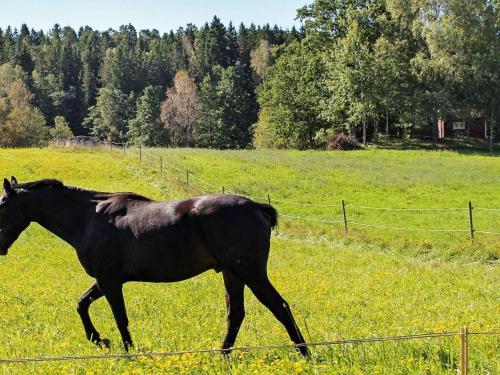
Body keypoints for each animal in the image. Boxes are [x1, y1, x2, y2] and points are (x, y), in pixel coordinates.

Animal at [0, 178, 308, 356]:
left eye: (2, 203)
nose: (0, 246)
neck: (89, 217)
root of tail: (257, 207)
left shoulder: (110, 281)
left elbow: (120, 319)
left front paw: (127, 352)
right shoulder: (105, 280)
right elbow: (81, 304)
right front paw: (99, 340)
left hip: (250, 274)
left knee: (279, 308)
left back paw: (304, 353)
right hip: (233, 274)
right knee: (236, 315)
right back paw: (221, 356)